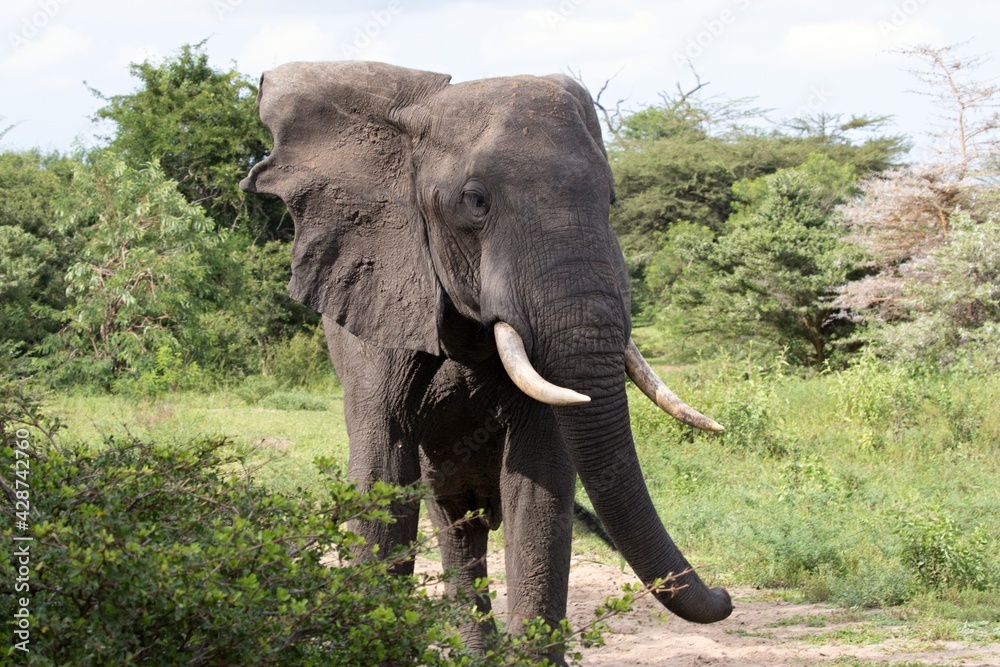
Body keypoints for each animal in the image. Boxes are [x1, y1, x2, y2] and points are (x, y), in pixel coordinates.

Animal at [239, 61, 733, 662]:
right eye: (475, 202)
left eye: (612, 199)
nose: (725, 596)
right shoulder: (383, 280)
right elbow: (383, 466)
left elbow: (541, 477)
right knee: (452, 522)